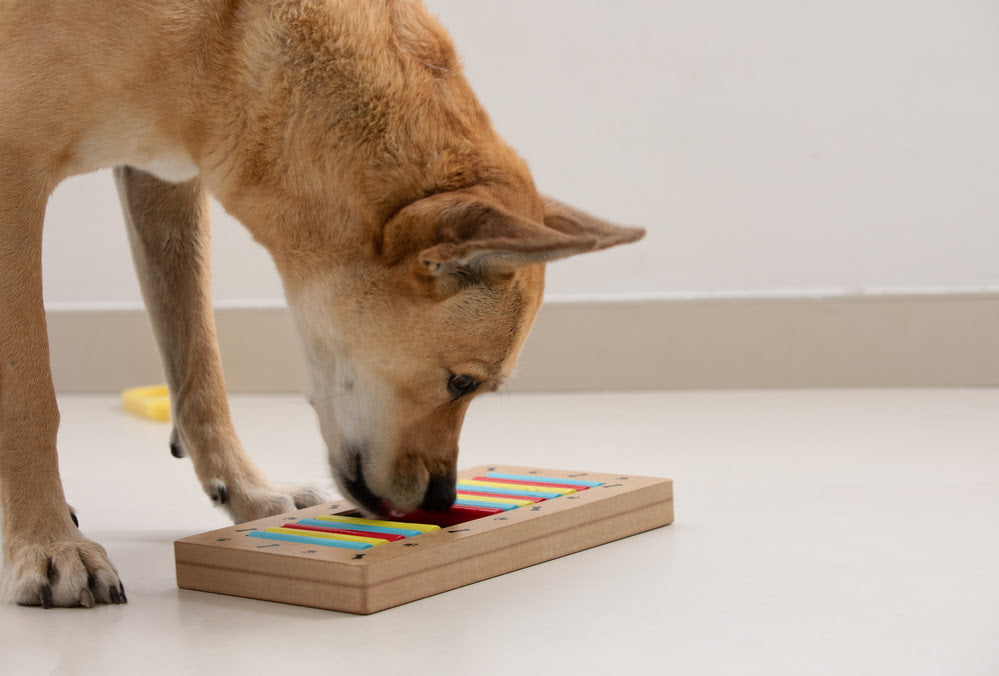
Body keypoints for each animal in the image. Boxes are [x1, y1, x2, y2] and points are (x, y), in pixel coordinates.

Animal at [0, 0, 640, 608]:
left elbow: (199, 365)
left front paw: (248, 492)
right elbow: (32, 400)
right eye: (463, 383)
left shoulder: (163, 180)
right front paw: (49, 543)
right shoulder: (16, 181)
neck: (225, 38)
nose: (444, 501)